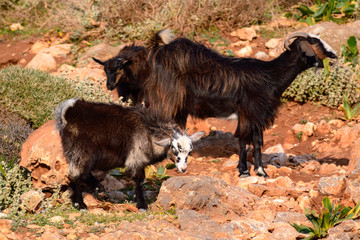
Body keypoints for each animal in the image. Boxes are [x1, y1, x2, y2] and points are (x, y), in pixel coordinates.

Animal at [54, 98, 204, 209]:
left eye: (190, 151)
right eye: (173, 148)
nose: (183, 169)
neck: (149, 132)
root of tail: (68, 112)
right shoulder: (136, 158)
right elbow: (138, 180)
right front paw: (142, 205)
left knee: (82, 173)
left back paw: (96, 190)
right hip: (81, 152)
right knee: (75, 175)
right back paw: (81, 204)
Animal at [143, 31, 338, 178]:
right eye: (314, 42)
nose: (335, 55)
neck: (270, 76)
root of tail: (159, 52)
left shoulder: (258, 116)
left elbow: (257, 143)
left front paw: (261, 172)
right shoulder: (248, 112)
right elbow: (244, 141)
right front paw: (243, 171)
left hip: (180, 108)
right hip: (166, 101)